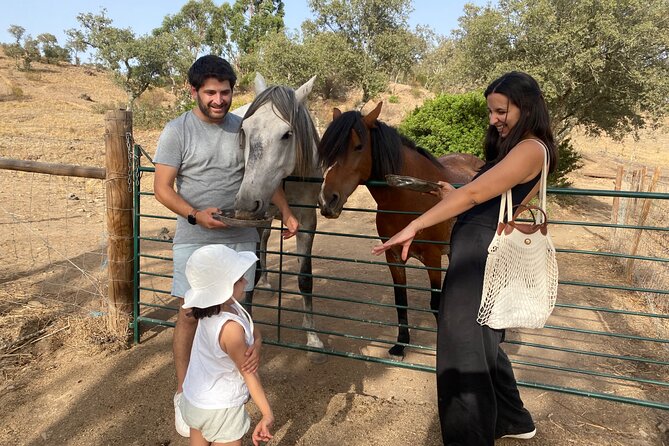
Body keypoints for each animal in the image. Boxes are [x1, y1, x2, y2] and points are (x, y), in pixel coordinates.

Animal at [318, 102, 480, 358]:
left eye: (358, 146)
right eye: (329, 151)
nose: (327, 200)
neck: (411, 196)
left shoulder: (432, 258)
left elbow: (436, 303)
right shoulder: (393, 257)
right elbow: (400, 299)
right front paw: (400, 343)